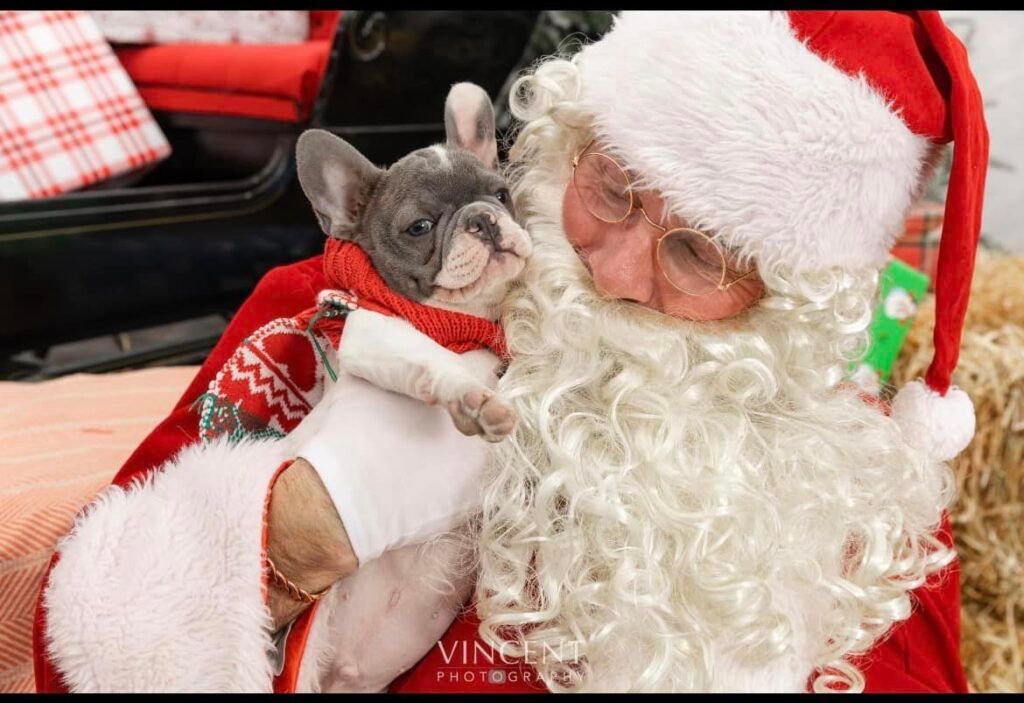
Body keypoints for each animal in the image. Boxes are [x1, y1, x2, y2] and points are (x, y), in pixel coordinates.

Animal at [290, 82, 528, 442]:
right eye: (420, 227)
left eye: (501, 195)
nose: (482, 219)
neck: (467, 311)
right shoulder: (371, 330)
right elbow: (432, 355)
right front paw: (472, 398)